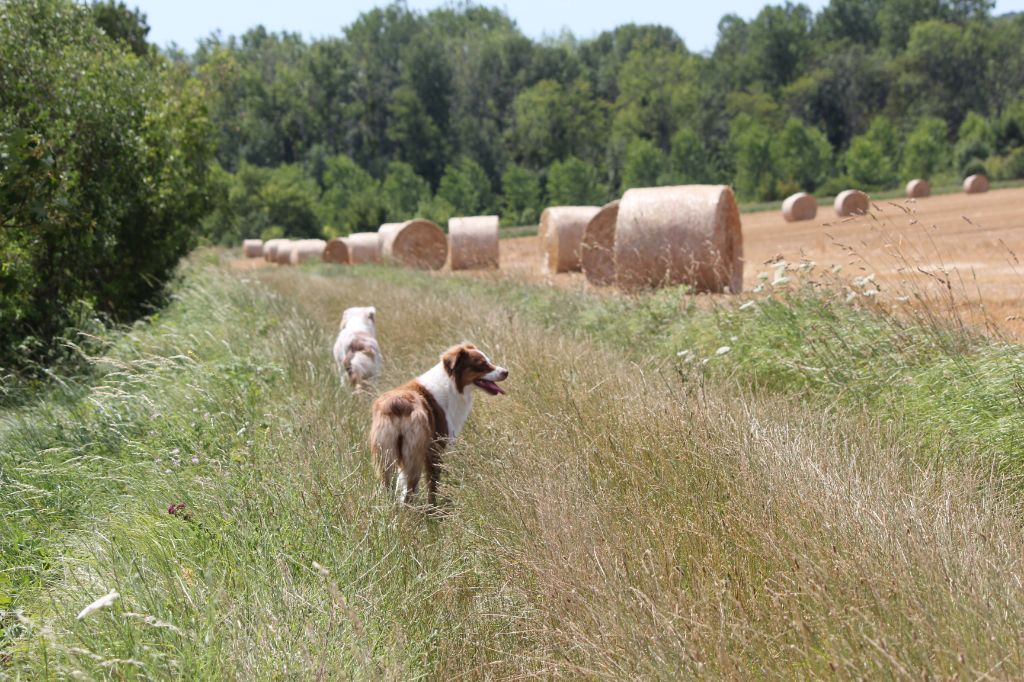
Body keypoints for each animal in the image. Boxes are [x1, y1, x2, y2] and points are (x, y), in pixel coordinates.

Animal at [372, 342, 507, 501]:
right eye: (482, 365)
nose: (506, 372)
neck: (451, 384)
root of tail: (397, 404)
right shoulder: (435, 449)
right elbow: (432, 486)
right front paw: (433, 506)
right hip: (414, 454)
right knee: (411, 491)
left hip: (386, 455)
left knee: (388, 488)